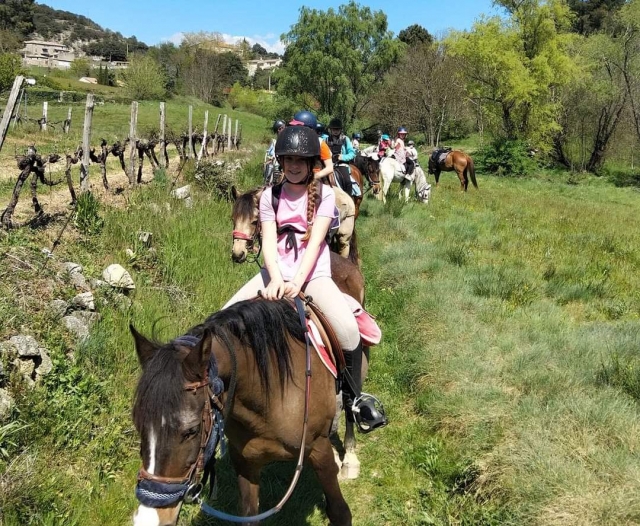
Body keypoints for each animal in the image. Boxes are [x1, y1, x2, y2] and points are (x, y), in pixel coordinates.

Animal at [131, 297, 354, 526]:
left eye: (191, 431)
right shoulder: (245, 463)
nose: (149, 518)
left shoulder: (319, 448)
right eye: (139, 426)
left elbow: (340, 512)